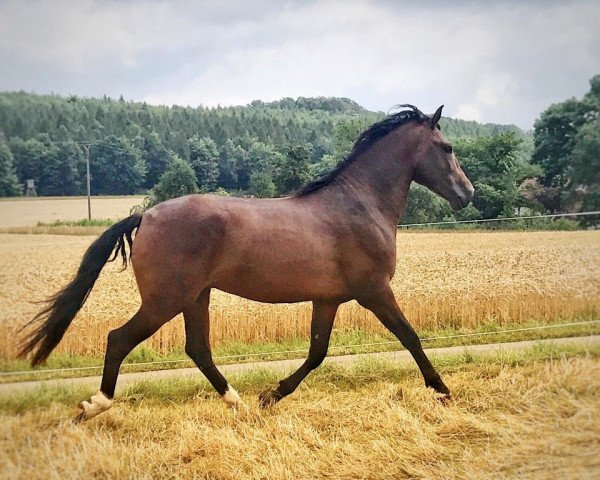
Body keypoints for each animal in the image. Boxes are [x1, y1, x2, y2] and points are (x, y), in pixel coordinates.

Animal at [19, 105, 474, 420]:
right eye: (448, 147)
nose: (467, 193)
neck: (359, 203)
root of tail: (146, 216)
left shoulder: (328, 300)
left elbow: (318, 351)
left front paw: (271, 395)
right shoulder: (374, 291)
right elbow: (410, 337)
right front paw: (442, 390)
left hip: (195, 297)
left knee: (198, 348)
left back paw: (236, 402)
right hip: (166, 300)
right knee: (119, 339)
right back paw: (94, 406)